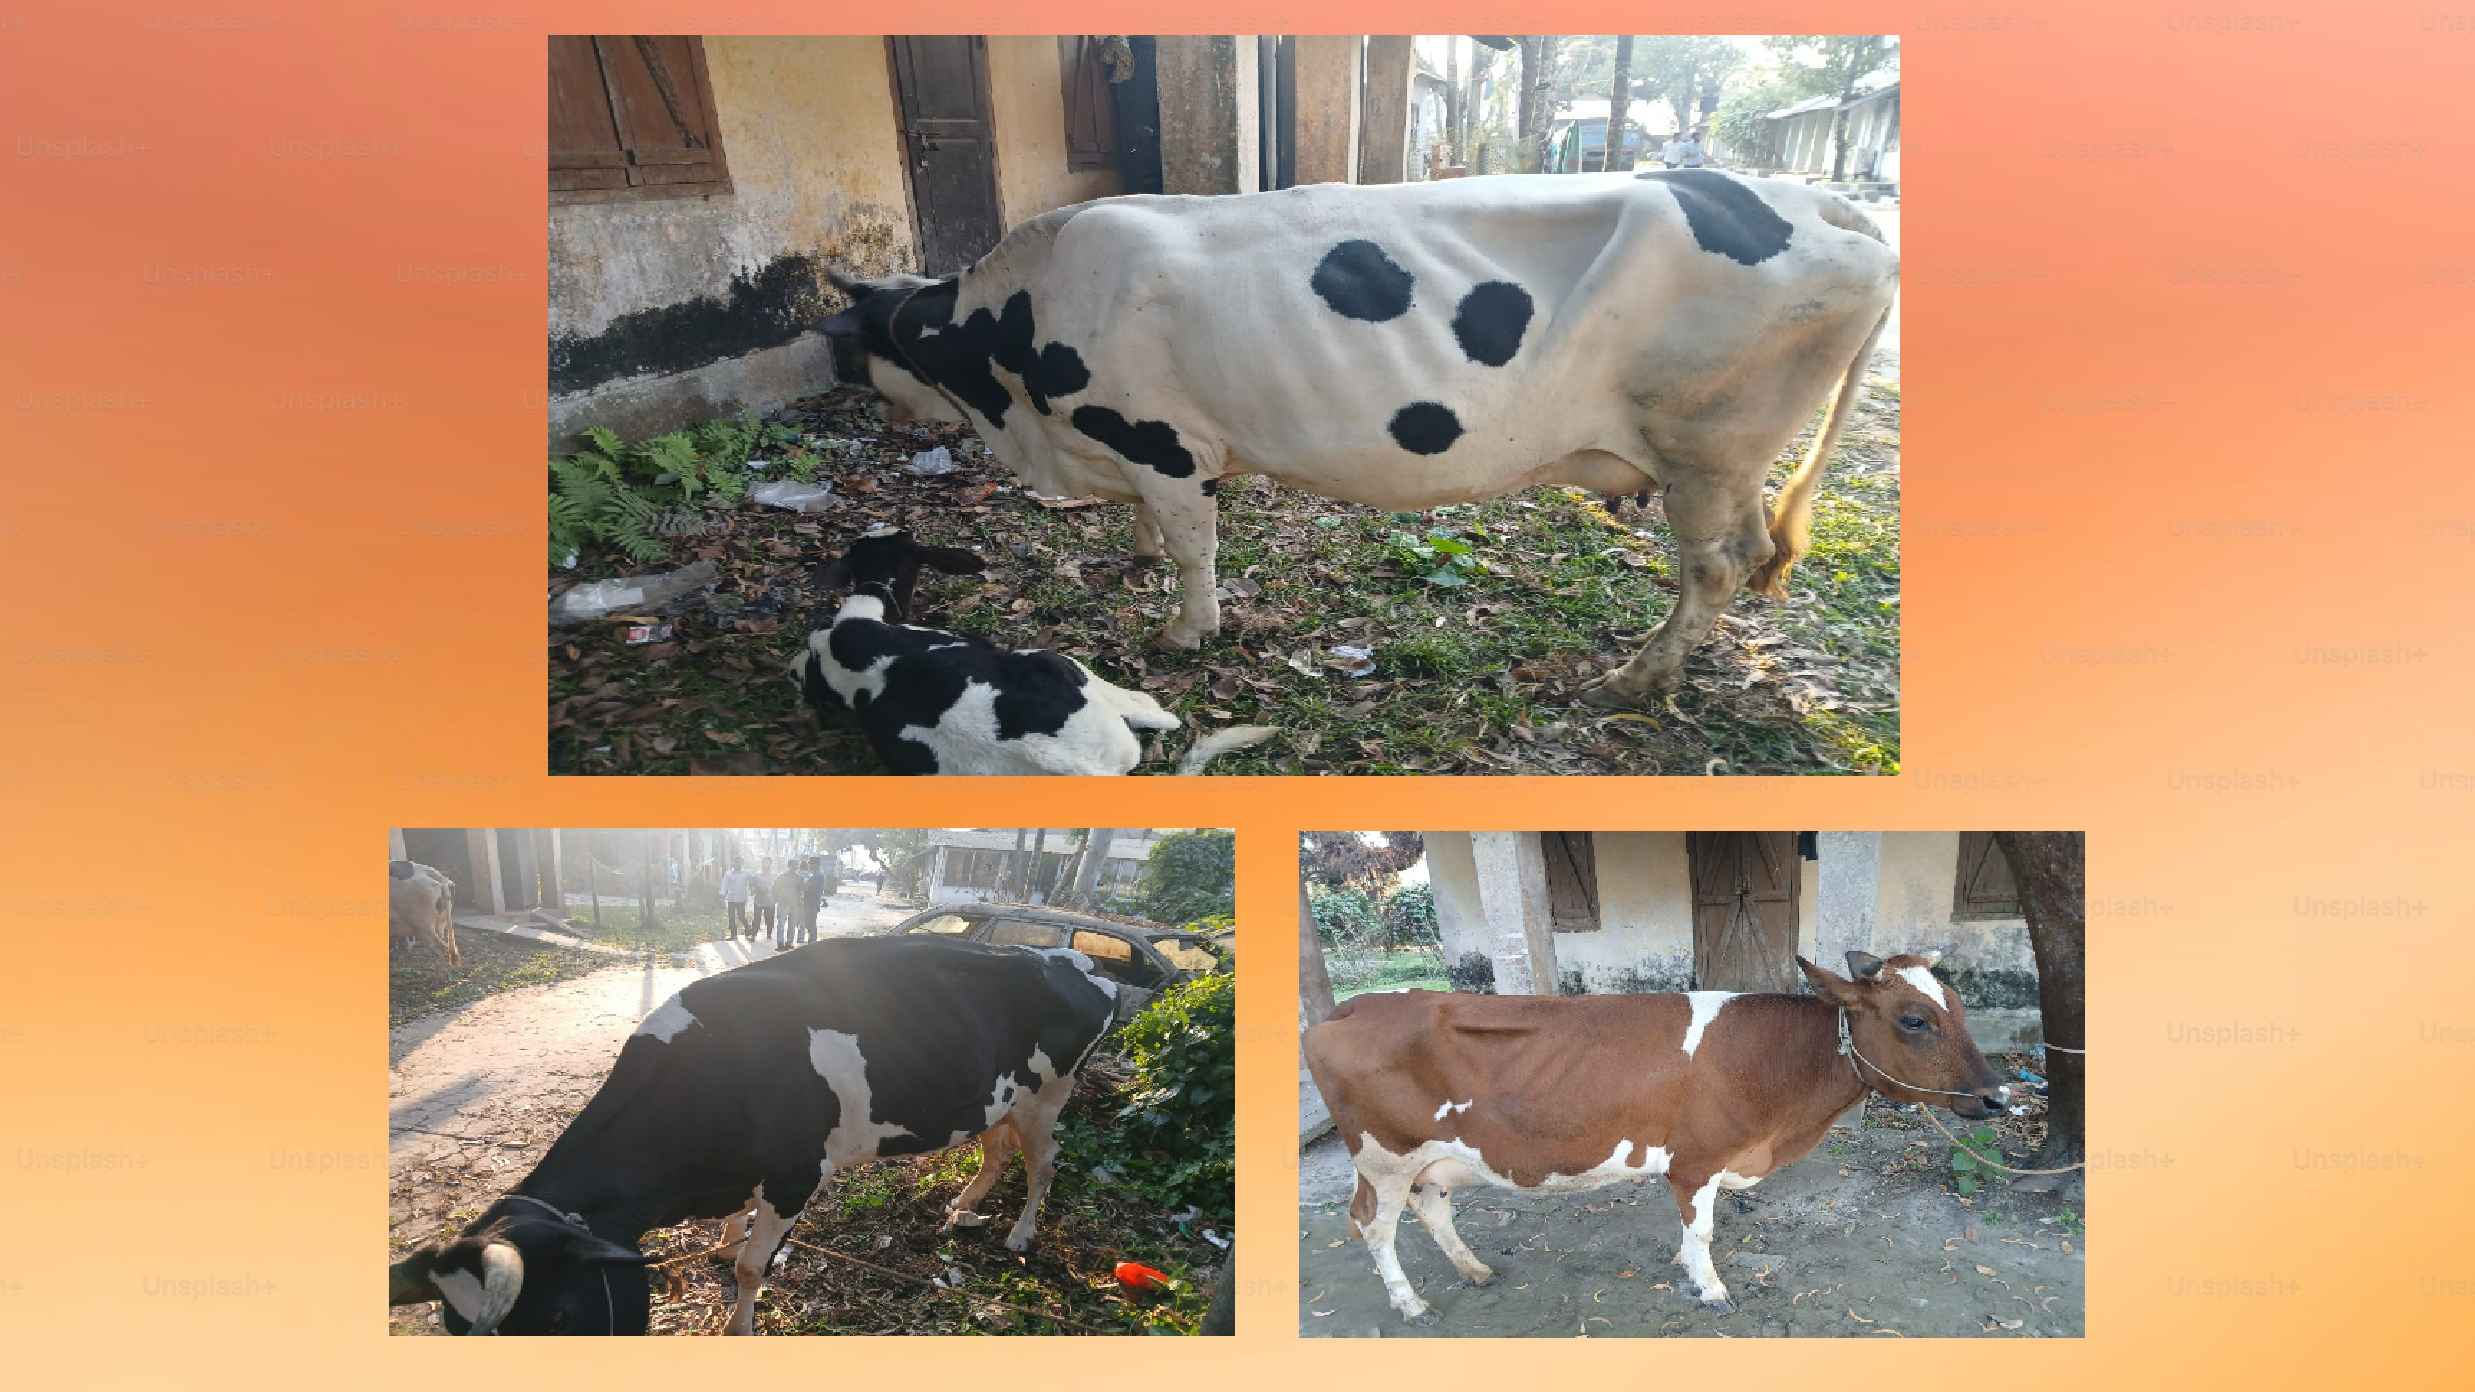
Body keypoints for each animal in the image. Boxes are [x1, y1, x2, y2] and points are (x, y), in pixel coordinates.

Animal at [388, 935, 1122, 1334]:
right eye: (455, 1326)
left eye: (558, 1317)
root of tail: (1077, 959)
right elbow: (735, 1239)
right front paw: (721, 1241)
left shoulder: (796, 1175)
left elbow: (750, 1267)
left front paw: (737, 1323)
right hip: (999, 1098)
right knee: (997, 1151)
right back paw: (963, 1208)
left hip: (1049, 1095)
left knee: (1044, 1164)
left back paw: (1020, 1233)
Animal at [819, 170, 1896, 707]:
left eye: (854, 344)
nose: (850, 393)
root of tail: (1808, 199)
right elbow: (1154, 531)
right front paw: (1135, 554)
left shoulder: (1166, 444)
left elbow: (1195, 550)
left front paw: (1185, 627)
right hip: (1731, 457)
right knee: (1746, 553)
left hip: (1704, 445)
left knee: (1711, 568)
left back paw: (1636, 678)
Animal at [1300, 950, 2012, 1323]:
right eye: (1915, 1019)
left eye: (1959, 1007)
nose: (1999, 1096)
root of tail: (1351, 1006)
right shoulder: (1696, 1161)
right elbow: (1705, 1228)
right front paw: (1710, 1285)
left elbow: (1692, 1227)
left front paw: (1684, 1263)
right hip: (1384, 1156)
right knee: (1371, 1224)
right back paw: (1409, 1302)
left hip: (1433, 1159)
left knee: (1433, 1208)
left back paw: (1472, 1270)